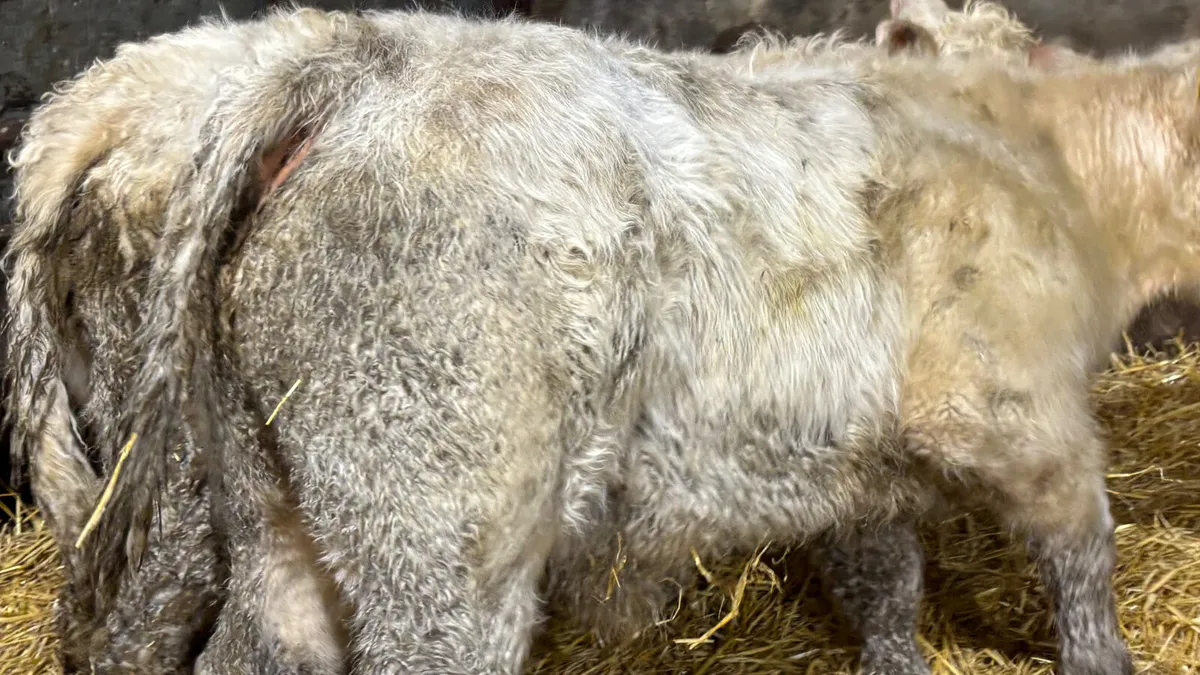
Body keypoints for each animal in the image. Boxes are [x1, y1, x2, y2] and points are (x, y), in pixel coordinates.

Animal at [8, 6, 1141, 675]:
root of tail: (353, 66)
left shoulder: (859, 455)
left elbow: (888, 577)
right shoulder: (1005, 410)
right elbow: (1080, 562)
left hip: (254, 480)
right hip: (428, 506)